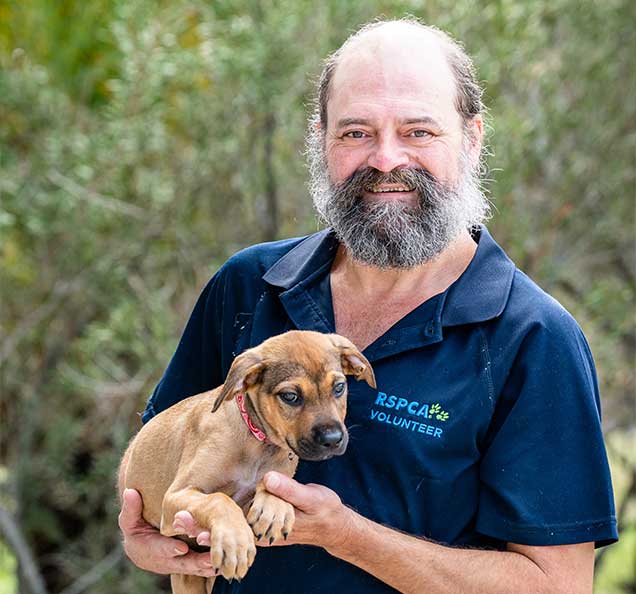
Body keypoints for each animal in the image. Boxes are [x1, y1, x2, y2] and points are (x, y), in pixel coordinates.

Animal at [123, 328, 372, 592]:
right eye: (290, 396)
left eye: (339, 387)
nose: (333, 439)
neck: (259, 443)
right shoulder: (175, 496)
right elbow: (219, 499)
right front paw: (235, 543)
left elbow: (276, 484)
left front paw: (273, 511)